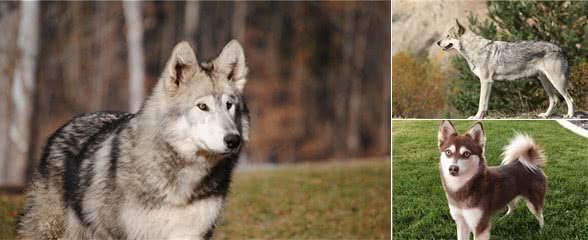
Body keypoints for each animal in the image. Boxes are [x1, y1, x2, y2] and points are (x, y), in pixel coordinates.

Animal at [436, 19, 576, 119]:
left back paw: (569, 115)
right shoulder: (489, 83)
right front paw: (481, 117)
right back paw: (545, 115)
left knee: (569, 99)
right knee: (555, 100)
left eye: (448, 36)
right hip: (545, 81)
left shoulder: (485, 81)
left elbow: (481, 103)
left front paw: (477, 117)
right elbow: (485, 104)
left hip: (556, 82)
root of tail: (560, 49)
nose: (437, 42)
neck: (475, 49)